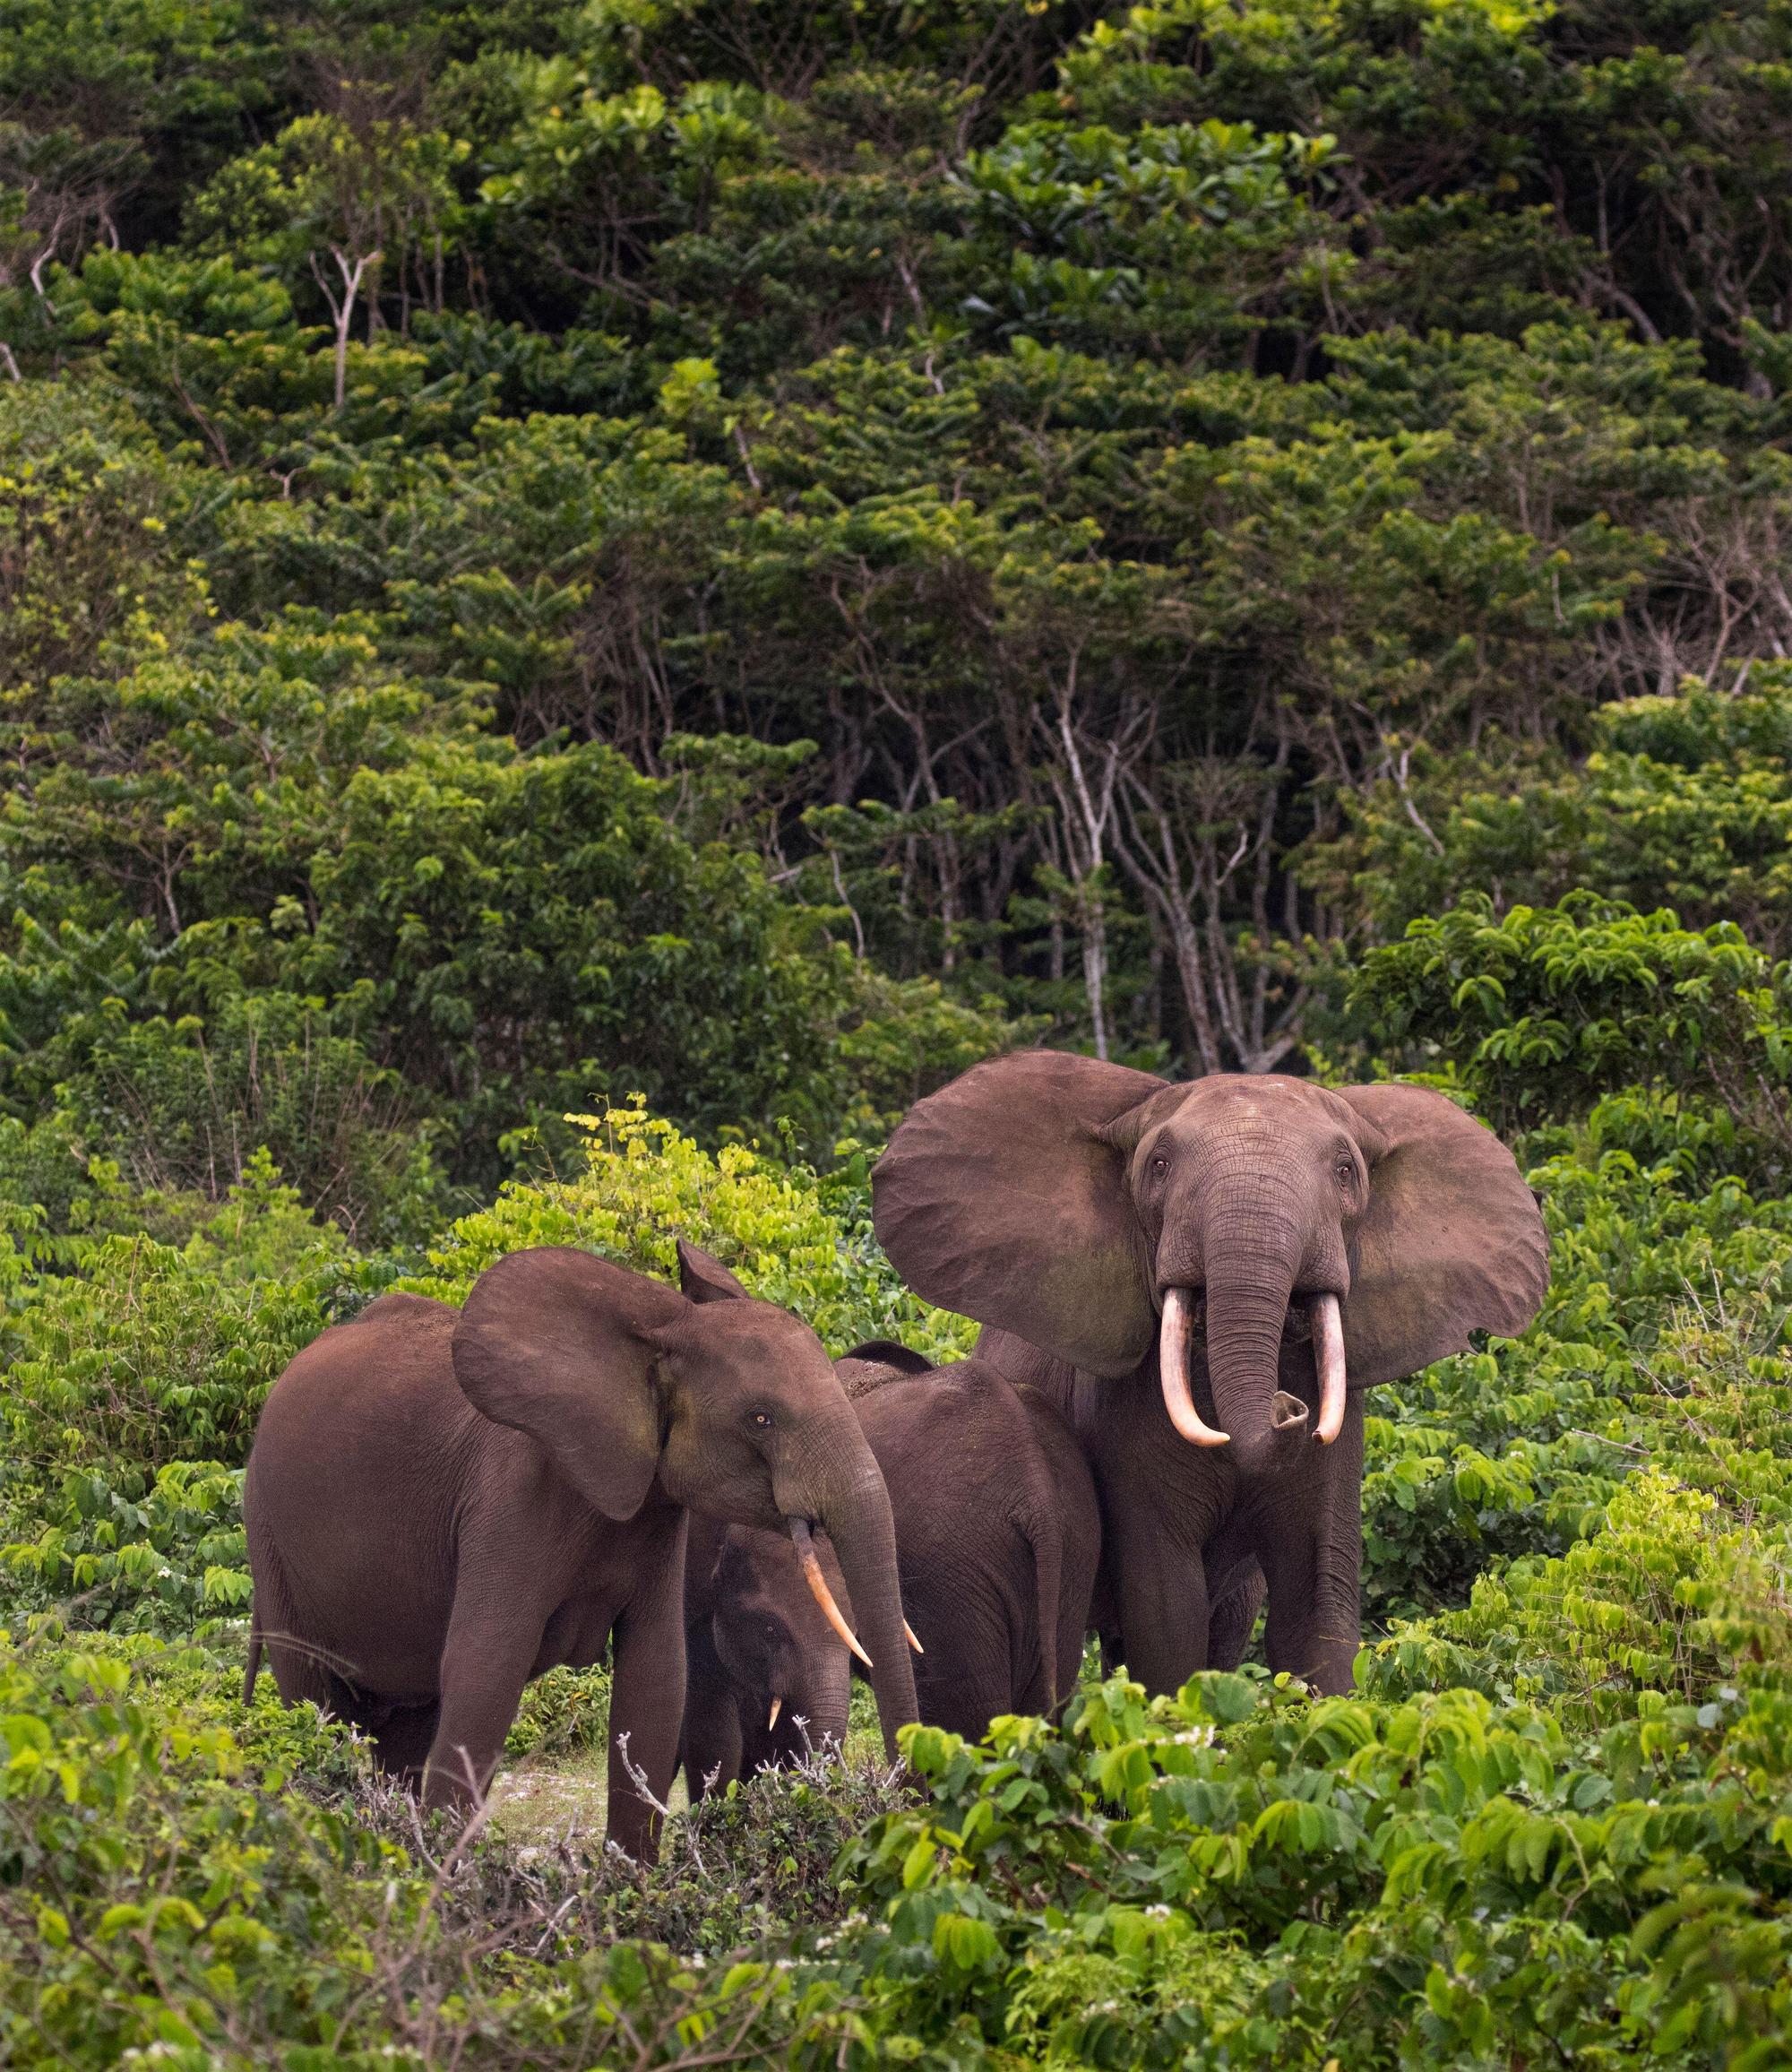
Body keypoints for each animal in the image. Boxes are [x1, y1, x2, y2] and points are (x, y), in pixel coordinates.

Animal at [241, 1240, 919, 1859]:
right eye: (761, 1419)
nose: (906, 1801)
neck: (660, 1333)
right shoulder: (510, 1501)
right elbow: (486, 1672)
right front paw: (444, 1888)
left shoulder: (654, 1516)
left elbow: (655, 1681)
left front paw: (631, 1887)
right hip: (269, 1536)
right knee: (314, 1702)